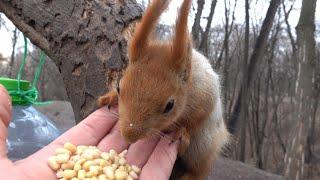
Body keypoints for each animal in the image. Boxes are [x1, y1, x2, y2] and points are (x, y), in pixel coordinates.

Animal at [99, 0, 229, 179]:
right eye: (119, 87)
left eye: (170, 106)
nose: (129, 135)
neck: (189, 87)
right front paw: (110, 97)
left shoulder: (206, 96)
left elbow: (194, 121)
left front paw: (181, 132)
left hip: (204, 147)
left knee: (197, 170)